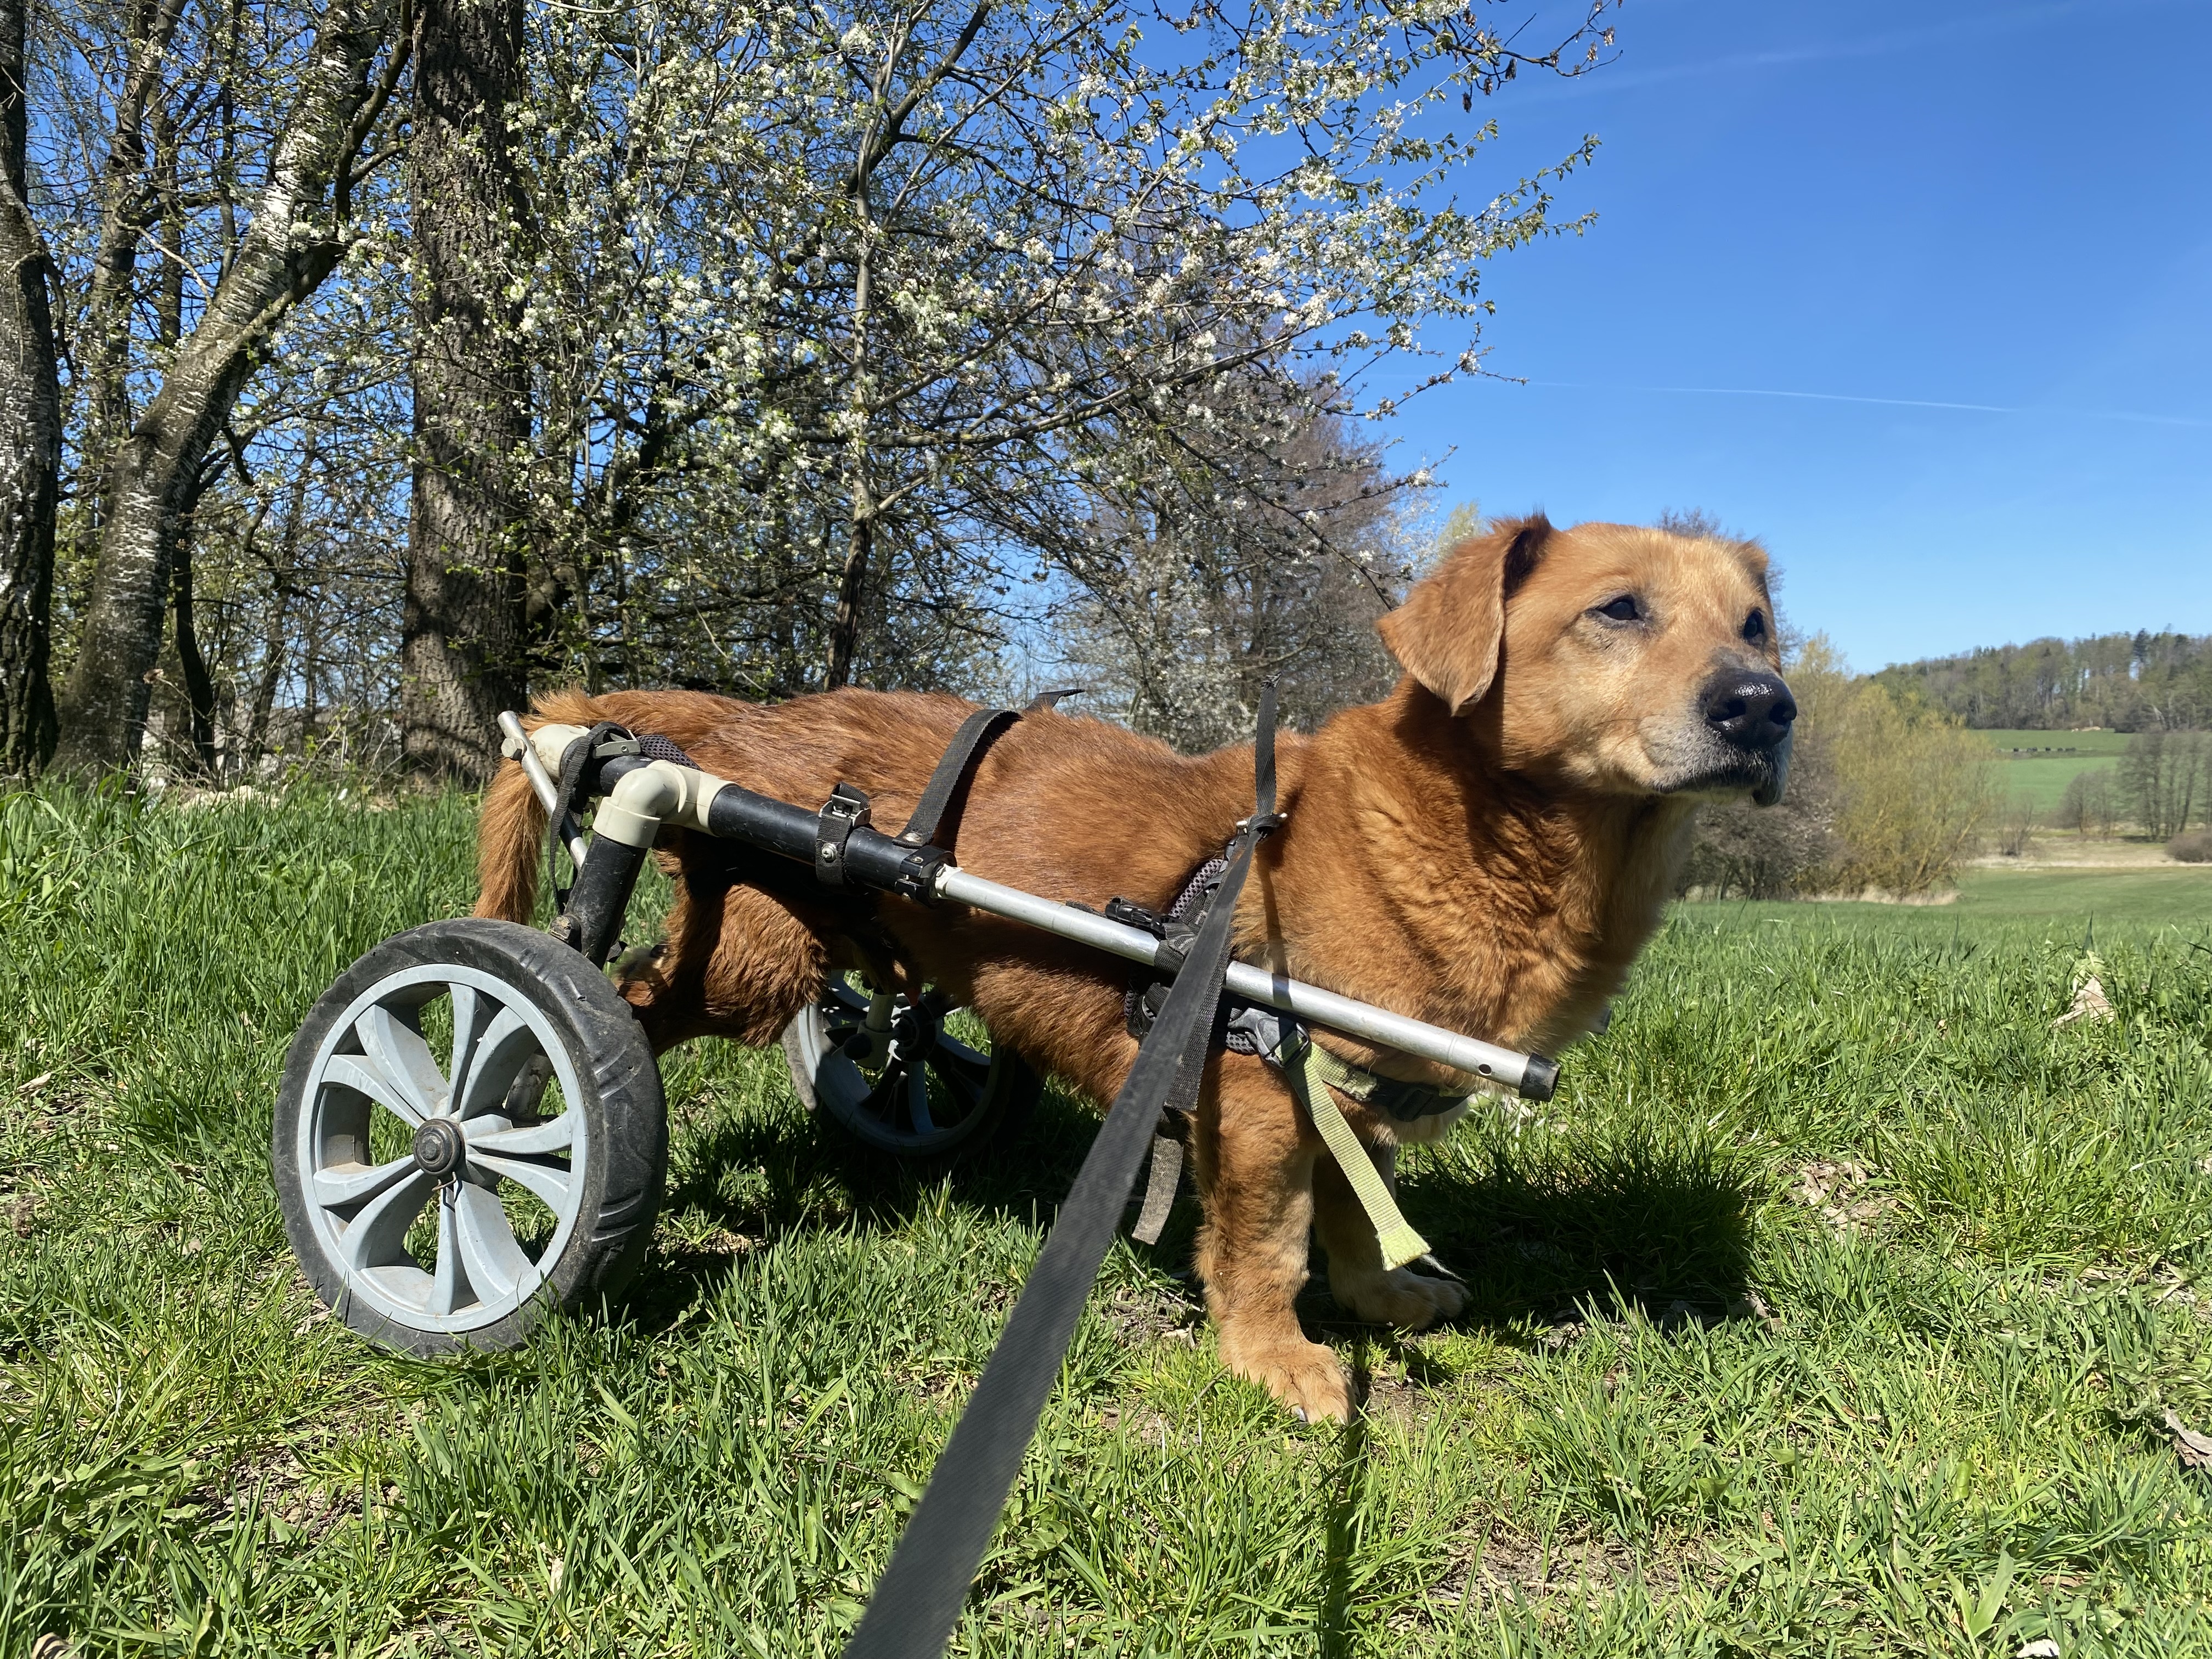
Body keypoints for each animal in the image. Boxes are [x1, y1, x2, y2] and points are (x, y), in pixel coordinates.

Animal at [475, 513, 1794, 1419]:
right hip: (749, 958)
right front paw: (1277, 1357)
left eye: (1756, 625)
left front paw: (1380, 1298)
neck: (1466, 835)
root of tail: (735, 725)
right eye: (1618, 609)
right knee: (611, 995)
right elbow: (1270, 1243)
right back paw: (514, 1112)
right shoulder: (1260, 1099)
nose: (1766, 707)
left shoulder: (1349, 1102)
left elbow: (1358, 1216)